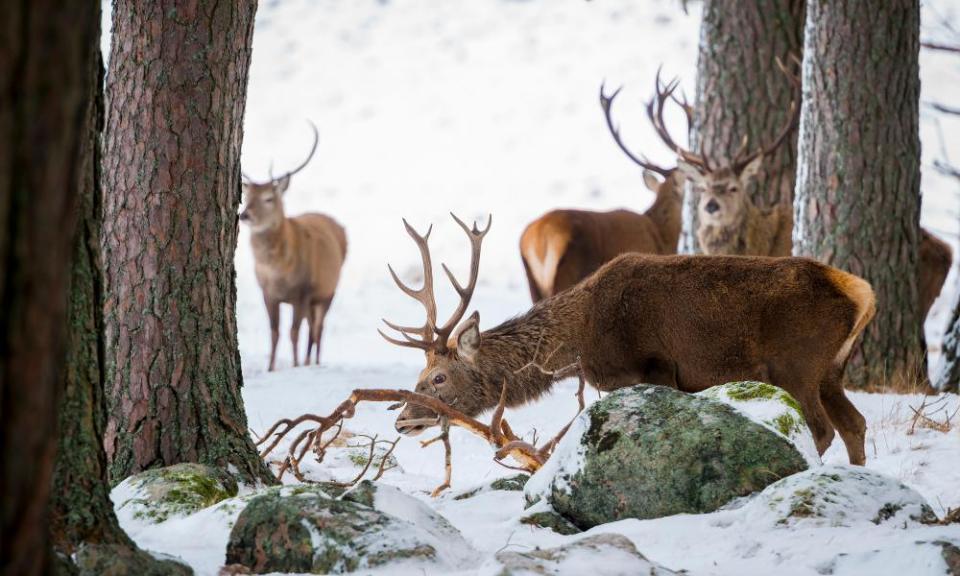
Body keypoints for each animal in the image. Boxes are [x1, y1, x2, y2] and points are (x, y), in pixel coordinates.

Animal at [242, 124, 346, 372]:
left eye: (269, 198)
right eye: (246, 196)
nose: (244, 215)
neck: (277, 270)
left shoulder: (303, 291)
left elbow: (293, 332)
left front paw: (296, 365)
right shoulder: (267, 292)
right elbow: (274, 333)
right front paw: (270, 368)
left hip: (327, 291)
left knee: (317, 329)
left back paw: (312, 362)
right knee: (313, 328)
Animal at [382, 214, 876, 466]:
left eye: (439, 377)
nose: (403, 420)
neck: (582, 337)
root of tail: (862, 294)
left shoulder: (654, 367)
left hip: (797, 363)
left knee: (823, 428)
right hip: (831, 371)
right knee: (855, 424)